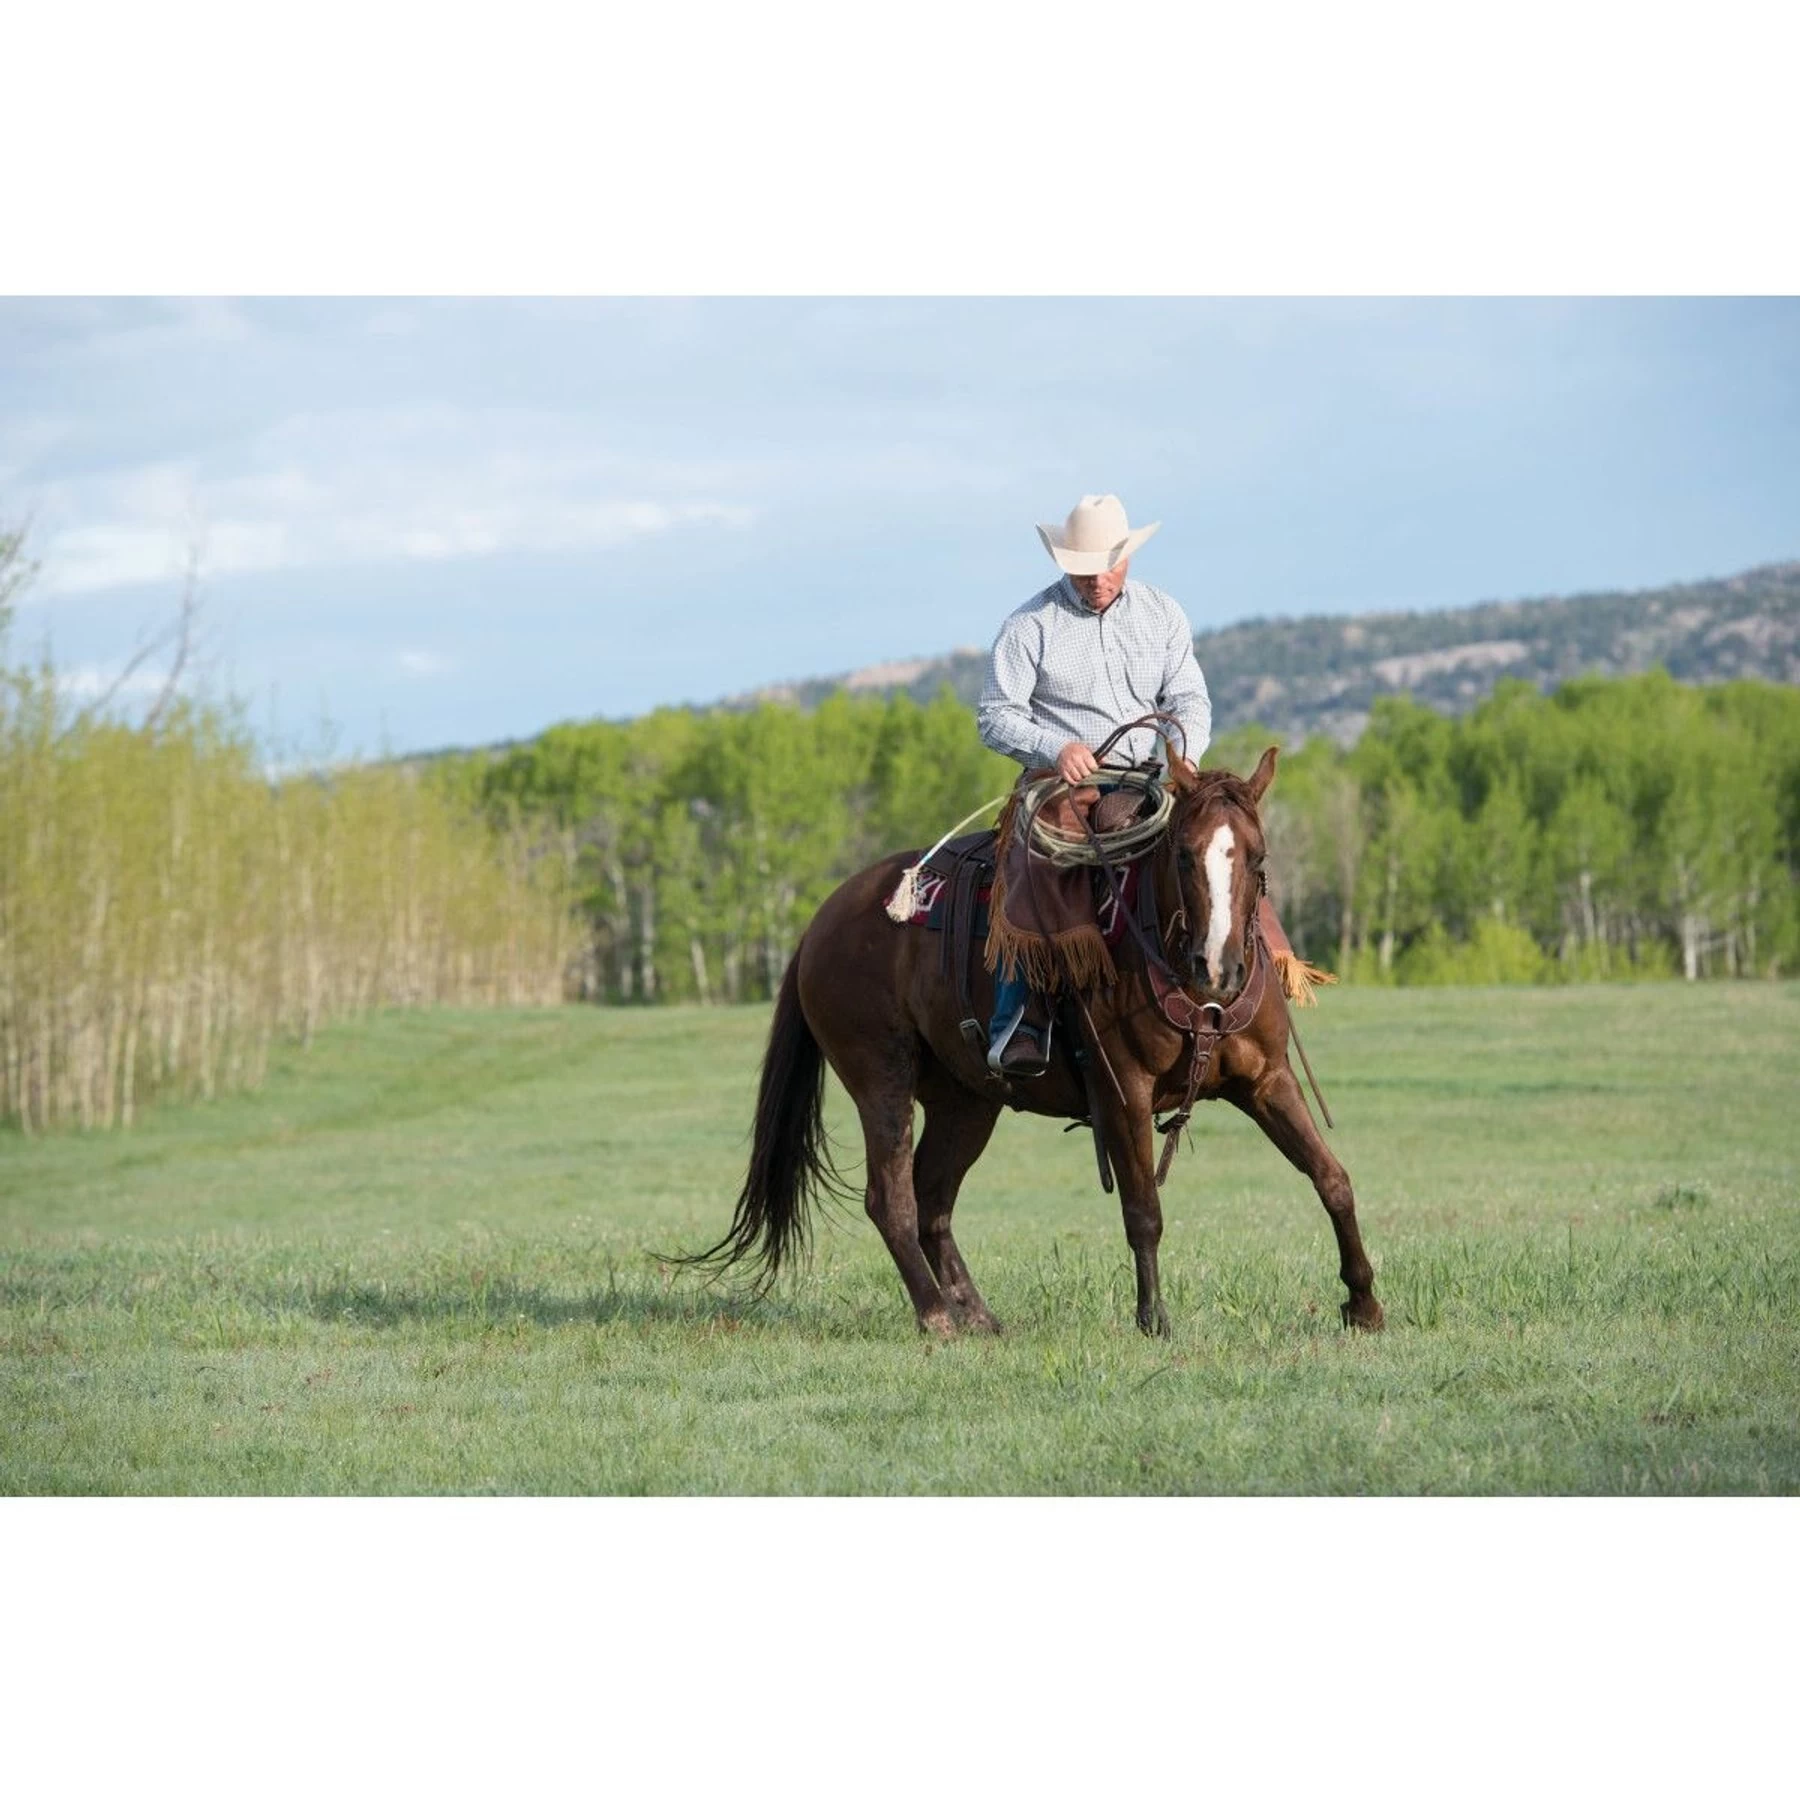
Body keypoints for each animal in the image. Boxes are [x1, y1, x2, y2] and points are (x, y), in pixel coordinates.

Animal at [685, 743, 1383, 1339]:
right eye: (1184, 855)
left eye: (1258, 857)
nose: (1219, 969)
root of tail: (821, 922)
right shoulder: (1123, 1093)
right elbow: (1144, 1210)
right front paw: (1153, 1320)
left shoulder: (1267, 1080)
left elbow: (1333, 1178)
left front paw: (1365, 1304)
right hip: (880, 1080)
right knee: (892, 1199)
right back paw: (936, 1317)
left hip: (965, 1101)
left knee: (933, 1199)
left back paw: (977, 1316)